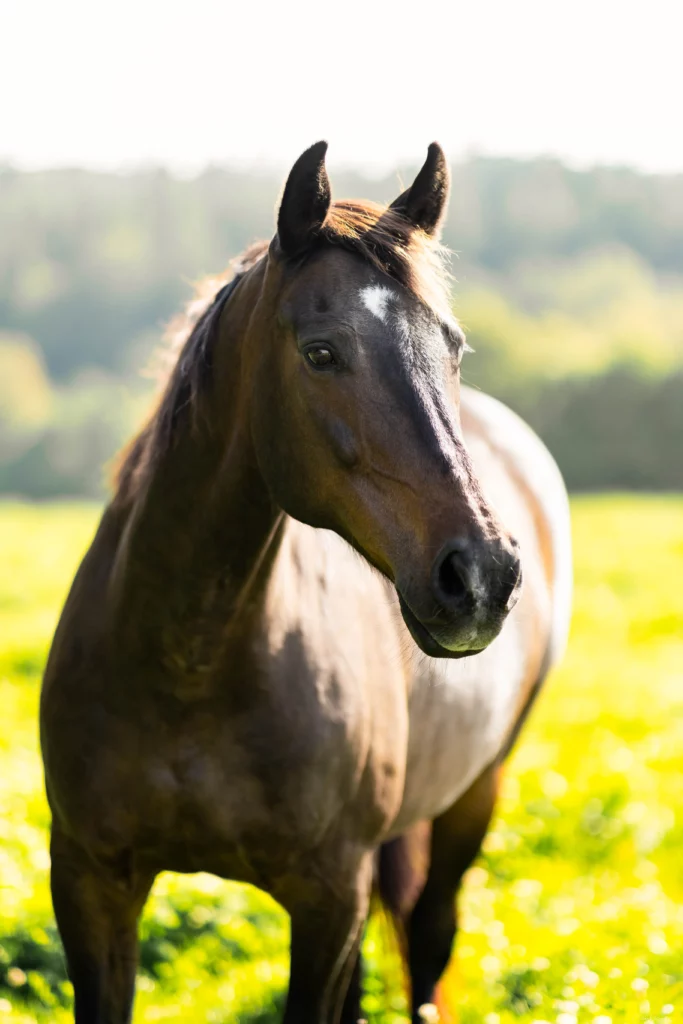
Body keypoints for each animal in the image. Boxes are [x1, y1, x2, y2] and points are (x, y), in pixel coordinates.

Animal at [41, 138, 573, 1024]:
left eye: (453, 348)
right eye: (320, 352)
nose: (481, 574)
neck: (189, 667)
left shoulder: (329, 896)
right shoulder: (89, 882)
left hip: (475, 795)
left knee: (430, 936)